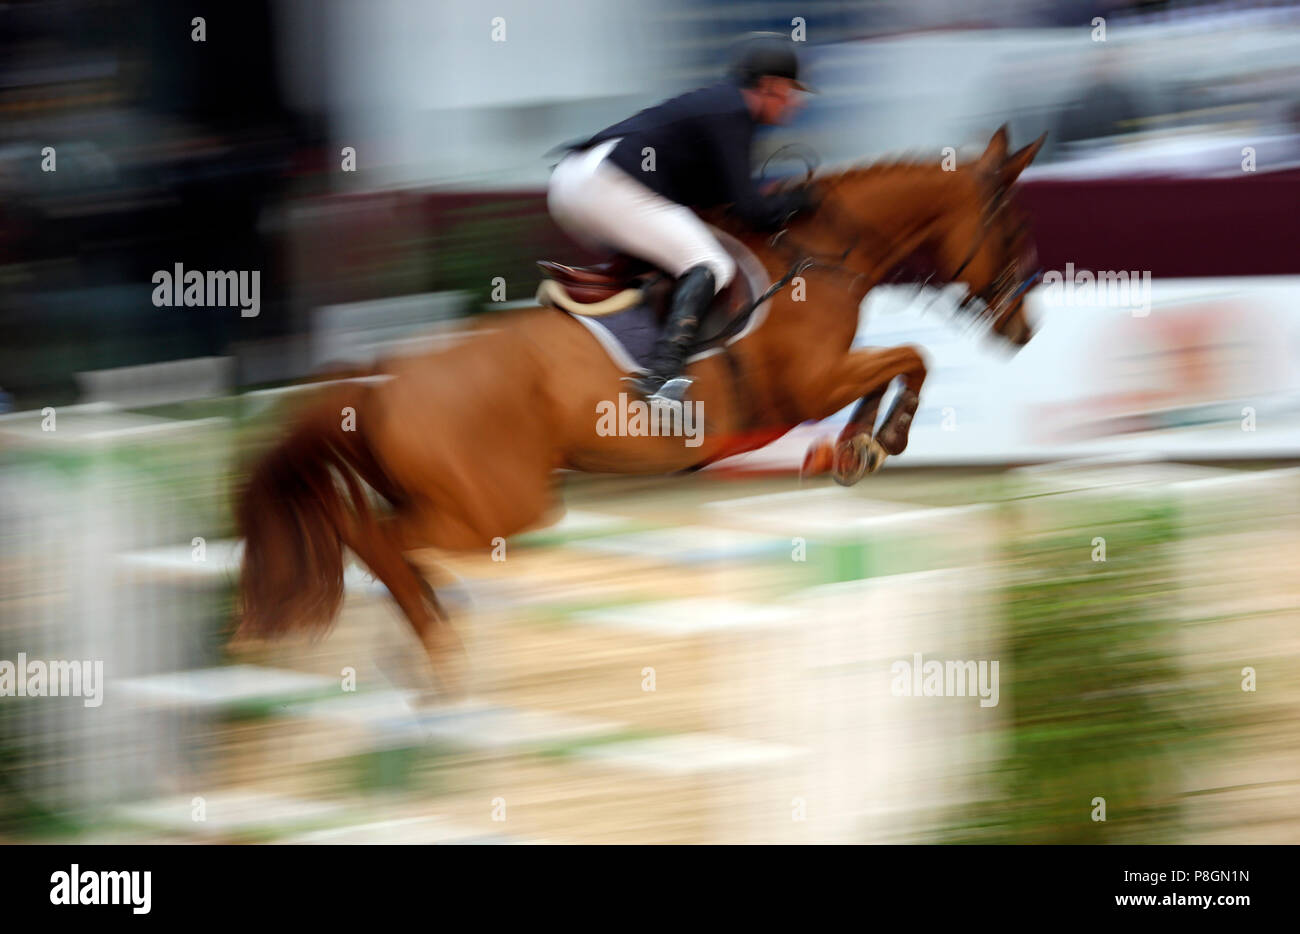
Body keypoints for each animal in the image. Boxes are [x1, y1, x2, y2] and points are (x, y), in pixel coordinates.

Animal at [233, 126, 1045, 697]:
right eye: (1008, 226)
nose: (1024, 328)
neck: (824, 254)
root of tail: (381, 382)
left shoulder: (826, 381)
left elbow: (892, 367)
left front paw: (855, 450)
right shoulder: (809, 386)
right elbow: (913, 355)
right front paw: (885, 439)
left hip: (464, 500)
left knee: (365, 532)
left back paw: (428, 629)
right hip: (498, 508)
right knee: (373, 533)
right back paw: (435, 639)